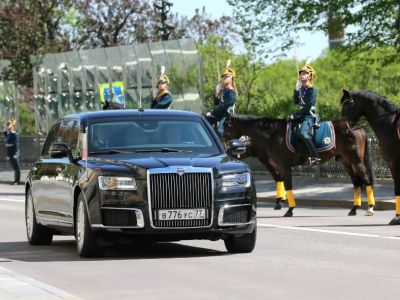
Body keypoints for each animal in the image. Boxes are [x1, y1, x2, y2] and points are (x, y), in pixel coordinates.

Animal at [222, 113, 376, 217]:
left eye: (226, 125)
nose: (226, 145)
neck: (273, 135)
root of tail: (358, 127)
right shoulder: (274, 163)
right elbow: (282, 182)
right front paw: (283, 204)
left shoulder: (283, 165)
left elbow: (287, 185)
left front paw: (288, 209)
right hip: (347, 161)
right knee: (357, 182)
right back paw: (354, 209)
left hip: (356, 160)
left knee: (366, 180)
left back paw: (370, 208)